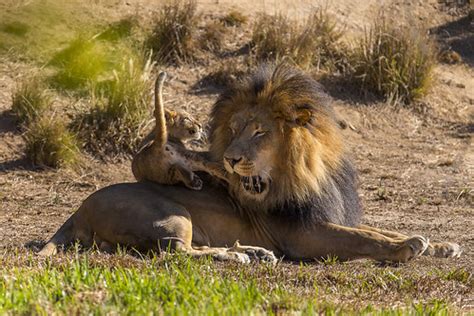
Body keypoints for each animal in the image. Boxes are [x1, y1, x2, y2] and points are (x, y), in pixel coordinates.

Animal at [39, 64, 462, 262]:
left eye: (260, 132)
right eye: (234, 129)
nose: (229, 159)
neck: (308, 171)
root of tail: (78, 209)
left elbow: (378, 228)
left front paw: (440, 244)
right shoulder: (303, 234)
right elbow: (363, 237)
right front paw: (407, 247)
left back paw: (254, 253)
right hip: (173, 215)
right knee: (177, 252)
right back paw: (243, 256)